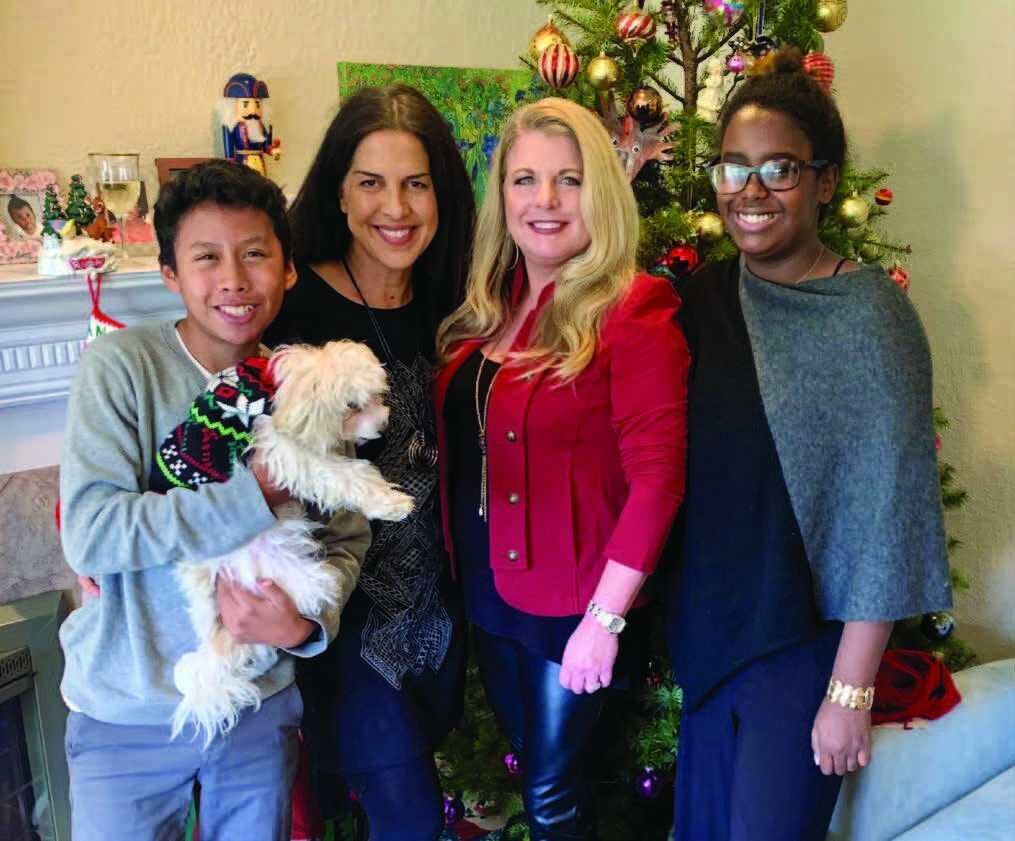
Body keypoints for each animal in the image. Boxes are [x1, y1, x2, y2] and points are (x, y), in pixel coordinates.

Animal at [166, 338, 412, 746]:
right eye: (352, 406)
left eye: (376, 396)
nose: (382, 425)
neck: (273, 390)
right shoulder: (284, 451)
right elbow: (345, 476)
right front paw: (391, 504)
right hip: (275, 567)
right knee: (309, 590)